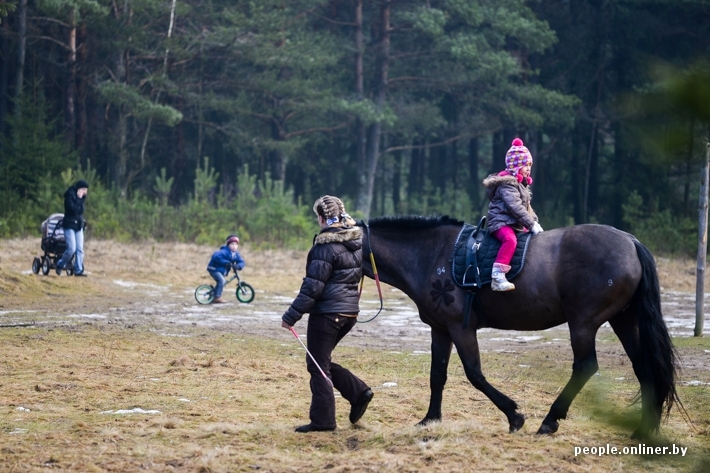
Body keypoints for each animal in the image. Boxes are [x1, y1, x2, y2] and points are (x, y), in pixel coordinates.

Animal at [358, 216, 680, 436]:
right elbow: (437, 375)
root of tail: (631, 243)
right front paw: (430, 419)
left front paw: (514, 416)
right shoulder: (440, 329)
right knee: (644, 368)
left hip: (583, 324)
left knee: (586, 366)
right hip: (624, 320)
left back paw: (550, 421)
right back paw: (642, 430)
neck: (432, 255)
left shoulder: (461, 328)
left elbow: (475, 374)